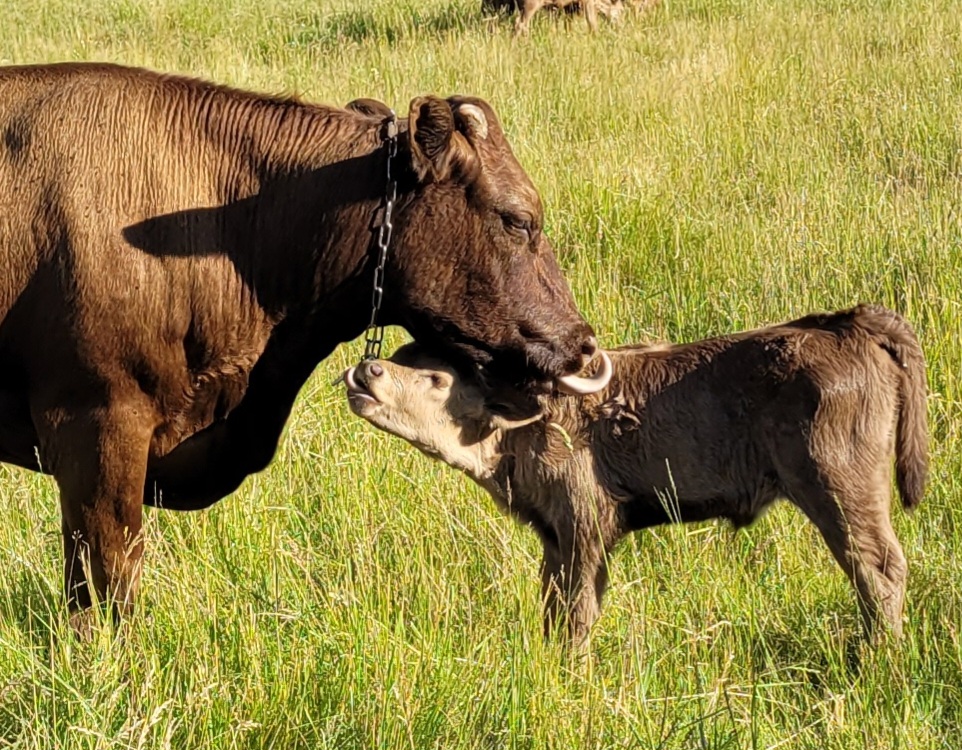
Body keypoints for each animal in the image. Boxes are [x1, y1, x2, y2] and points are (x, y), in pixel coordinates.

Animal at [344, 306, 924, 648]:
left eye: (437, 378)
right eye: (397, 354)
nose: (366, 370)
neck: (528, 423)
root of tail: (851, 324)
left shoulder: (586, 525)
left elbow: (580, 607)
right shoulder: (554, 534)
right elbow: (553, 604)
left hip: (839, 489)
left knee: (880, 571)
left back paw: (877, 661)